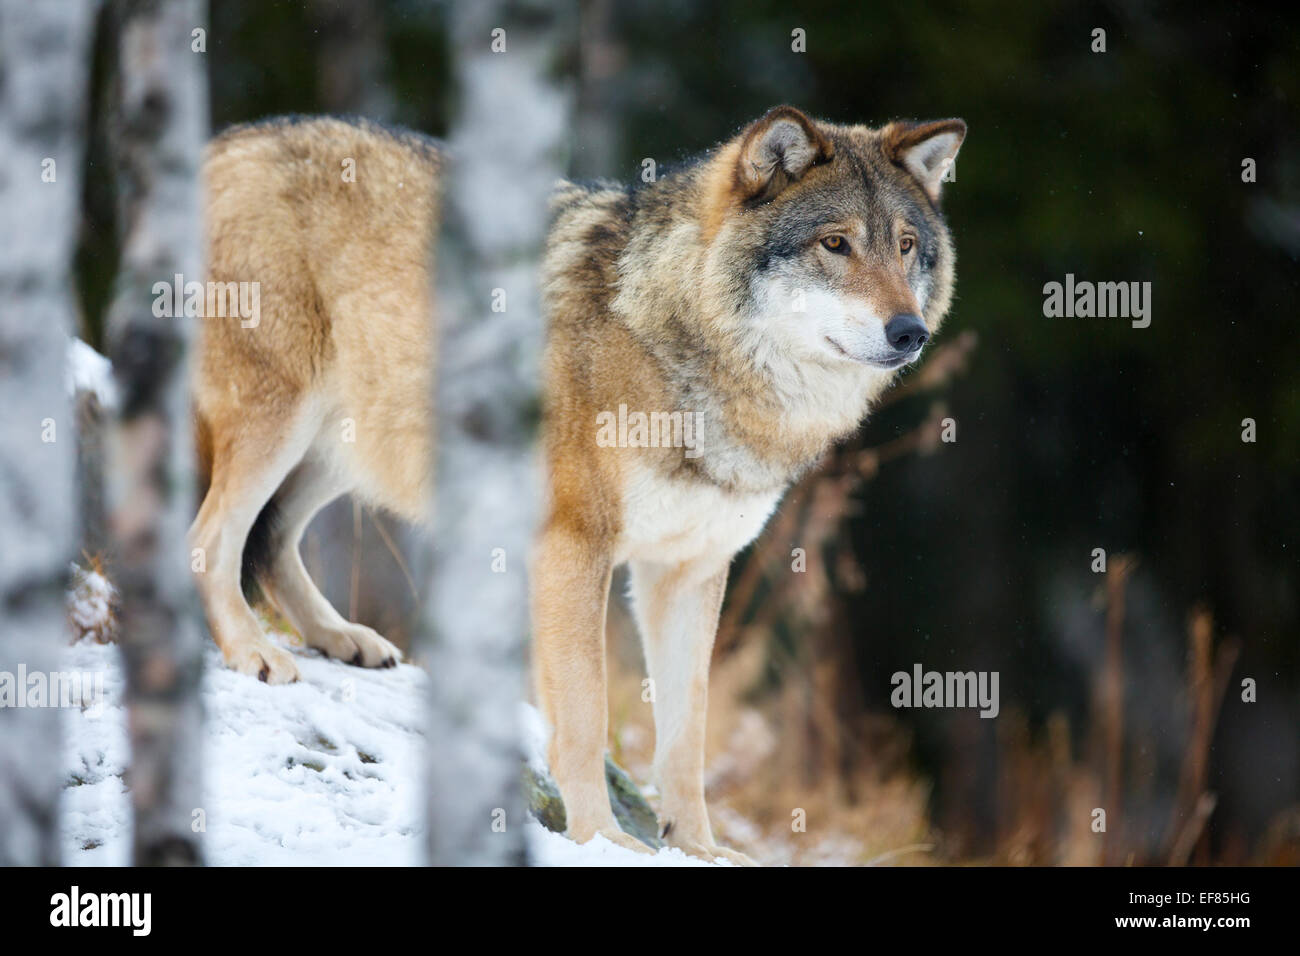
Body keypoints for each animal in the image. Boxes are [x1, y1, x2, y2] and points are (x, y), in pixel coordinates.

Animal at [530, 108, 967, 863]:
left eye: (907, 246)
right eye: (835, 244)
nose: (909, 332)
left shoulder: (693, 566)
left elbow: (687, 735)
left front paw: (698, 849)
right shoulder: (572, 545)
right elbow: (585, 713)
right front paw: (599, 838)